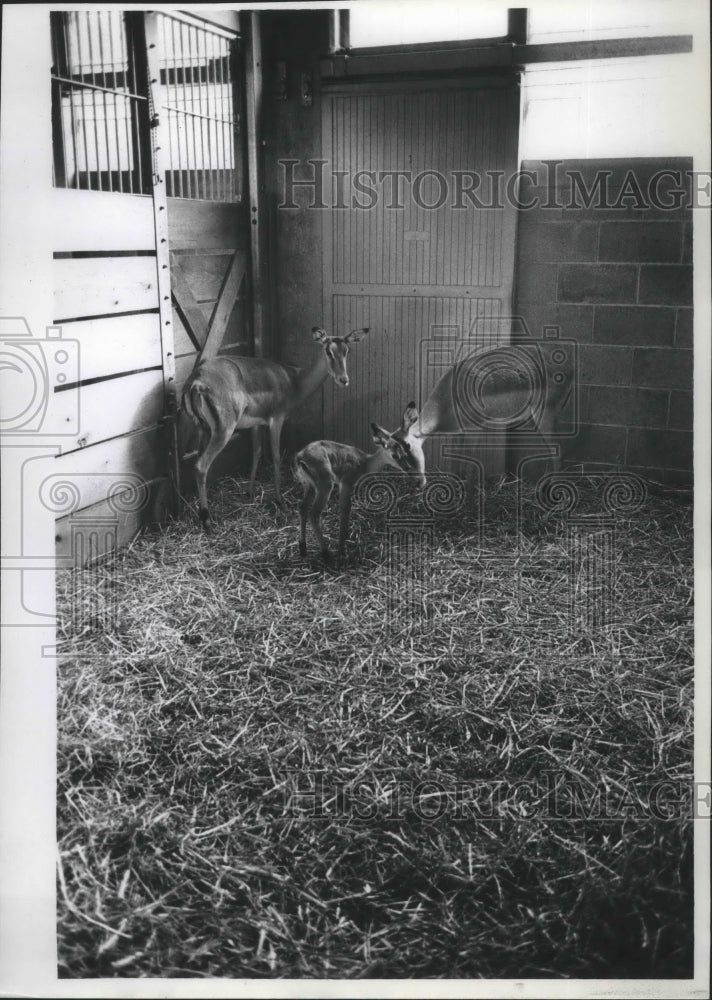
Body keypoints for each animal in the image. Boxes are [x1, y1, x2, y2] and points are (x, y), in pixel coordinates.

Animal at [181, 328, 368, 532]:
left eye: (347, 350)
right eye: (328, 351)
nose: (344, 380)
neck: (294, 381)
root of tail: (197, 382)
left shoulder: (256, 423)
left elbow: (256, 452)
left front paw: (250, 491)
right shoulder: (276, 420)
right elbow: (277, 457)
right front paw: (281, 501)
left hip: (203, 430)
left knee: (198, 463)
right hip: (223, 431)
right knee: (201, 466)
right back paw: (207, 521)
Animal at [294, 406, 418, 564]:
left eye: (404, 450)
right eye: (395, 455)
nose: (408, 468)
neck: (365, 462)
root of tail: (300, 457)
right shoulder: (346, 483)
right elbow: (345, 508)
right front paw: (342, 552)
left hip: (309, 486)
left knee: (303, 507)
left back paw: (303, 549)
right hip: (325, 485)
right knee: (314, 513)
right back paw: (326, 554)